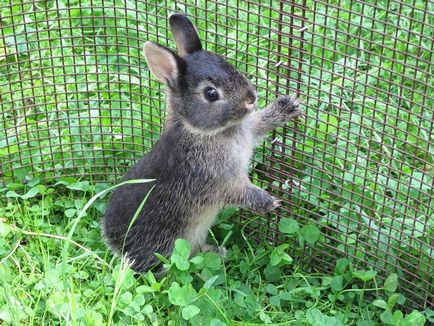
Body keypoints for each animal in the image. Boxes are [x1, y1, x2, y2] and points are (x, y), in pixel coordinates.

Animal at [103, 12, 304, 272]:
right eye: (211, 94)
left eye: (227, 63)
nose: (251, 98)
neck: (202, 131)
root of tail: (113, 242)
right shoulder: (220, 180)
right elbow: (241, 192)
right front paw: (270, 202)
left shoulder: (247, 133)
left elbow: (258, 125)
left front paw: (286, 107)